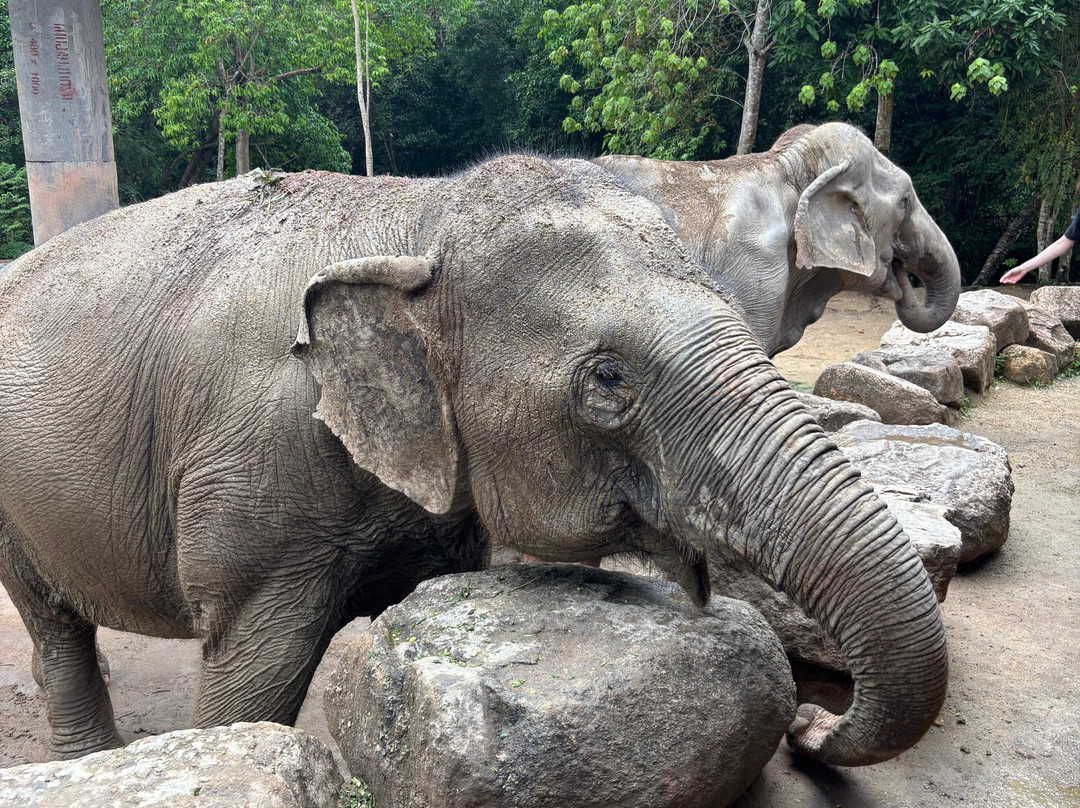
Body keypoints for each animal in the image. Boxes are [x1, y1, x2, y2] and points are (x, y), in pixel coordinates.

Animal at [0, 156, 946, 767]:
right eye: (608, 379)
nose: (810, 725)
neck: (419, 218)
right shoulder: (251, 479)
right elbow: (249, 677)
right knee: (50, 621)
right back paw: (86, 761)